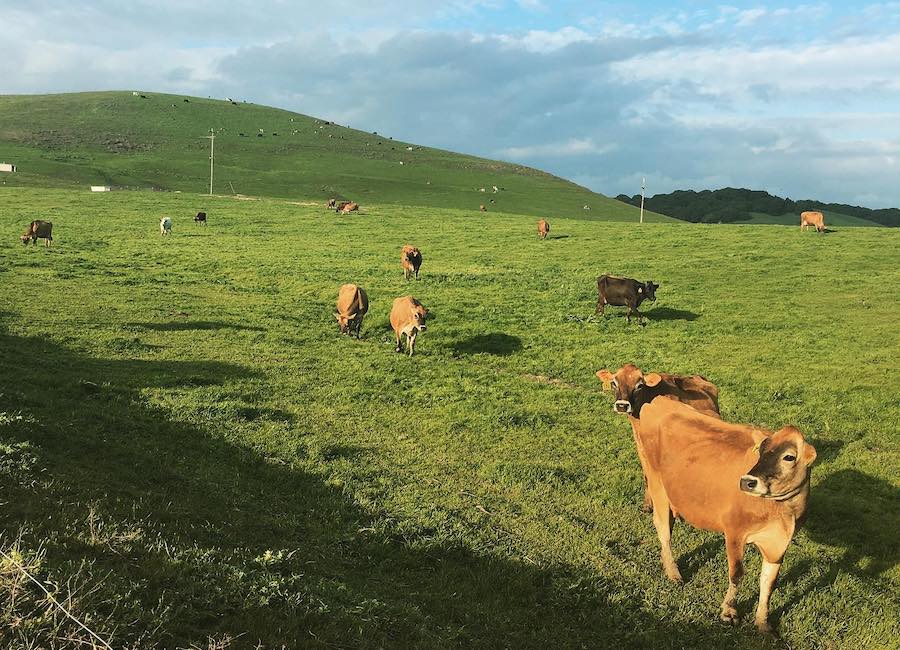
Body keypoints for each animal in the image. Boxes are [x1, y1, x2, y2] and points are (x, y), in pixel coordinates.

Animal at [596, 362, 720, 508]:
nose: (622, 405)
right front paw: (647, 505)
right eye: (614, 383)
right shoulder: (641, 447)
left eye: (639, 385)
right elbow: (647, 475)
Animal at [632, 398, 816, 632]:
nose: (747, 481)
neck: (783, 515)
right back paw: (673, 572)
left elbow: (768, 582)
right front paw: (729, 611)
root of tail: (659, 401)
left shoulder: (778, 544)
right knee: (663, 531)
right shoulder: (734, 532)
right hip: (657, 485)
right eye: (761, 451)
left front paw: (763, 622)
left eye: (789, 457)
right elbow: (737, 574)